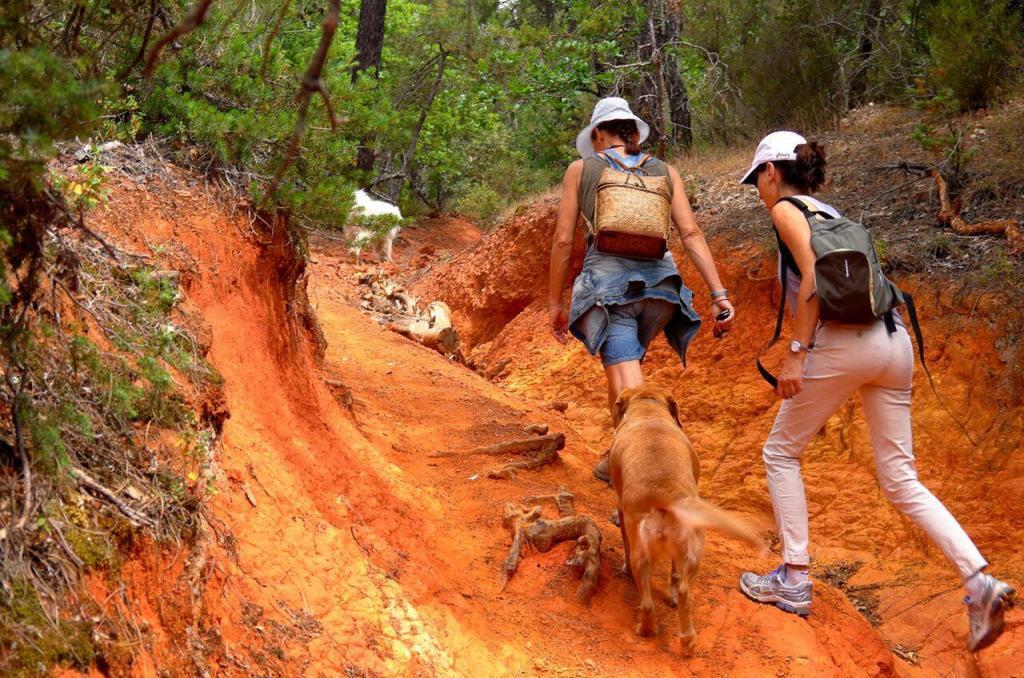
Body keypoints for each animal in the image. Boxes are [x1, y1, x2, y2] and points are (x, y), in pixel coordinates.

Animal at [606, 385, 761, 651]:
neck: (648, 410)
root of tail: (664, 494)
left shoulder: (622, 511)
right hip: (691, 551)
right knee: (681, 591)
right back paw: (685, 638)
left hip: (645, 551)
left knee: (649, 599)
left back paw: (649, 629)